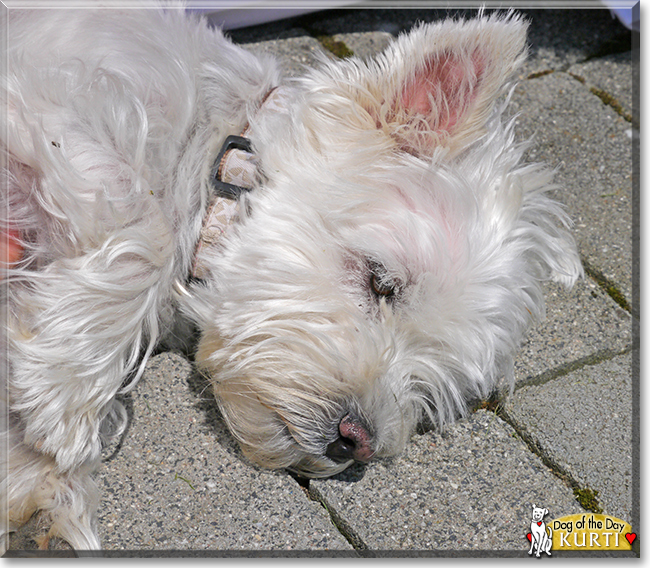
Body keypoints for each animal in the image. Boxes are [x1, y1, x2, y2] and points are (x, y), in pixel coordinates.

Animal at [0, 5, 576, 552]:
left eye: (435, 385)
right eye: (382, 282)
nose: (355, 440)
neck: (215, 146)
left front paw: (40, 496)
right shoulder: (48, 104)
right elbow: (148, 227)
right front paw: (65, 393)